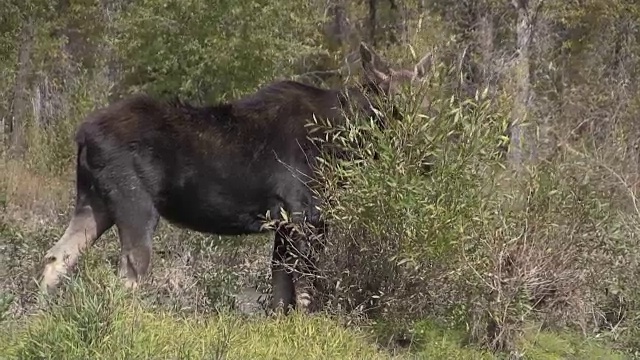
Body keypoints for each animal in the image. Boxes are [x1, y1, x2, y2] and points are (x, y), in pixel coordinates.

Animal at [38, 41, 430, 312]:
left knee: (57, 256)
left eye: (429, 104)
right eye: (395, 107)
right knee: (129, 272)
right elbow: (306, 288)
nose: (425, 155)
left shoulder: (283, 222)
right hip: (136, 205)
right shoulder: (305, 215)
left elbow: (280, 292)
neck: (348, 141)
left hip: (94, 201)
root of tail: (82, 134)